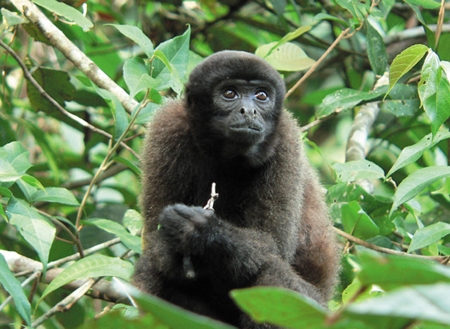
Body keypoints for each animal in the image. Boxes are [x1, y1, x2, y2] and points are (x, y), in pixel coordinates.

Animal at [134, 50, 342, 326]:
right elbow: (155, 244)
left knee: (271, 277)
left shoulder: (286, 139)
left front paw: (202, 230)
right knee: (150, 269)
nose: (249, 111)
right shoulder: (165, 128)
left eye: (261, 95)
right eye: (229, 93)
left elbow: (273, 246)